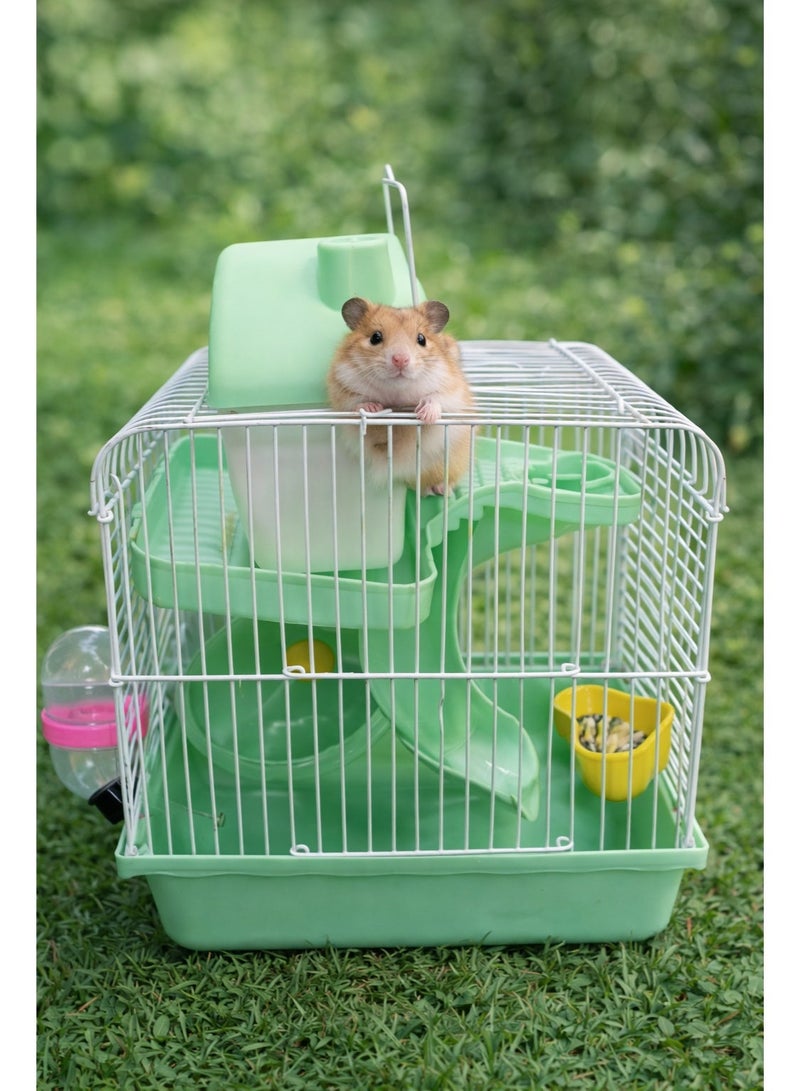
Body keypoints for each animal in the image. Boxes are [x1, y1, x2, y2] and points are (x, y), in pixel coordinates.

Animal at [326, 296, 476, 494]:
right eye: (375, 337)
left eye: (421, 339)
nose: (400, 360)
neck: (397, 394)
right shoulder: (342, 390)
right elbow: (357, 402)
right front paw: (373, 408)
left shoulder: (452, 392)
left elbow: (436, 399)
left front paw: (425, 415)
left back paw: (441, 490)